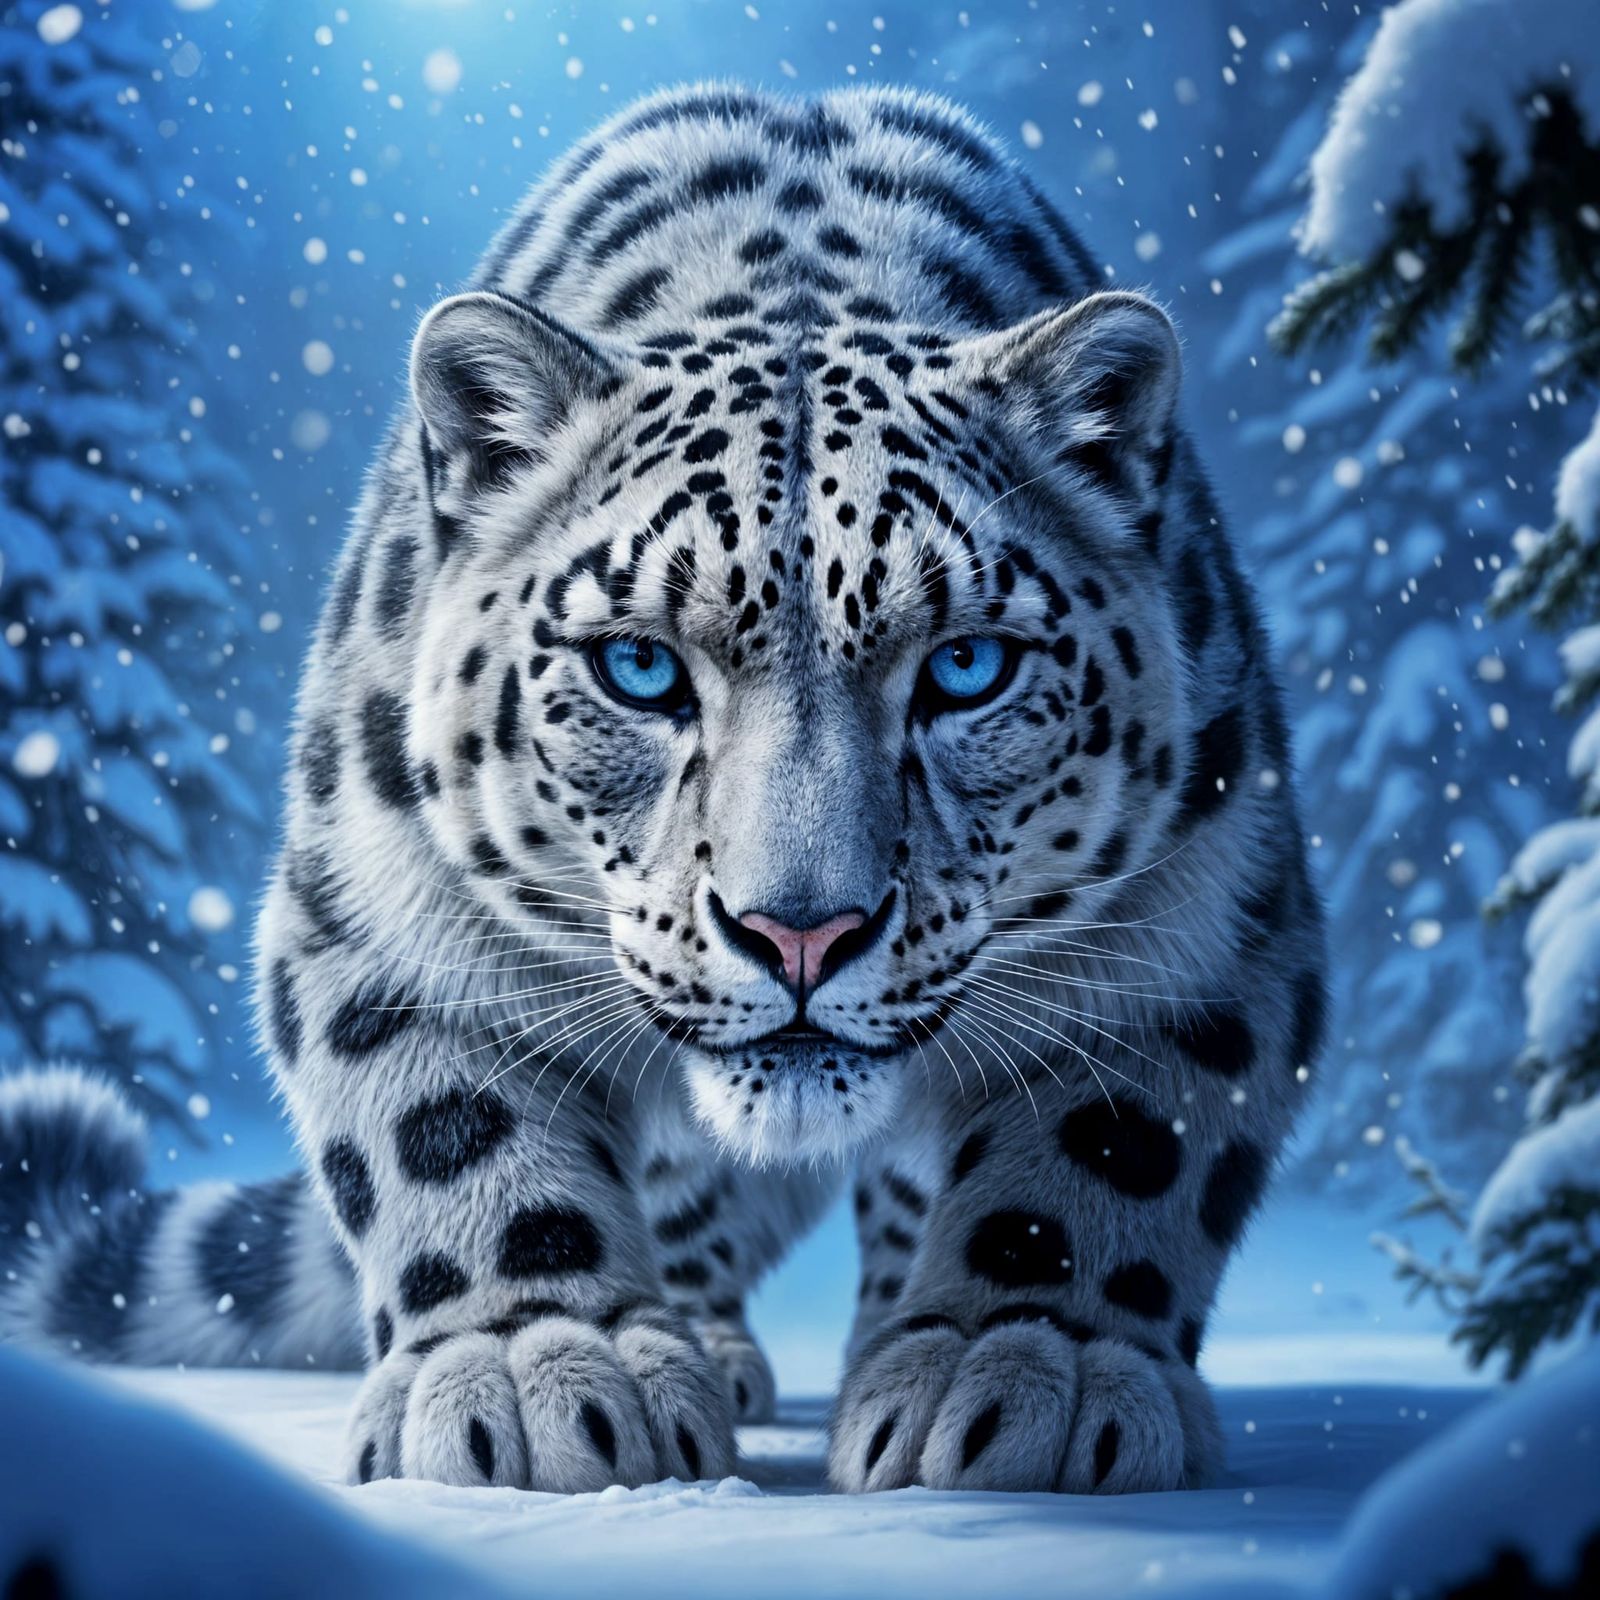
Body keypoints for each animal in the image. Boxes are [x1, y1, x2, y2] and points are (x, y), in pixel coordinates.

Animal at [0, 84, 1326, 1497]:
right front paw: (536, 1369)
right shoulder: (380, 901)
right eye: (636, 665)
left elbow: (1116, 1145)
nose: (801, 931)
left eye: (967, 664)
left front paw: (1024, 1365)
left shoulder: (1207, 919)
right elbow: (448, 1127)